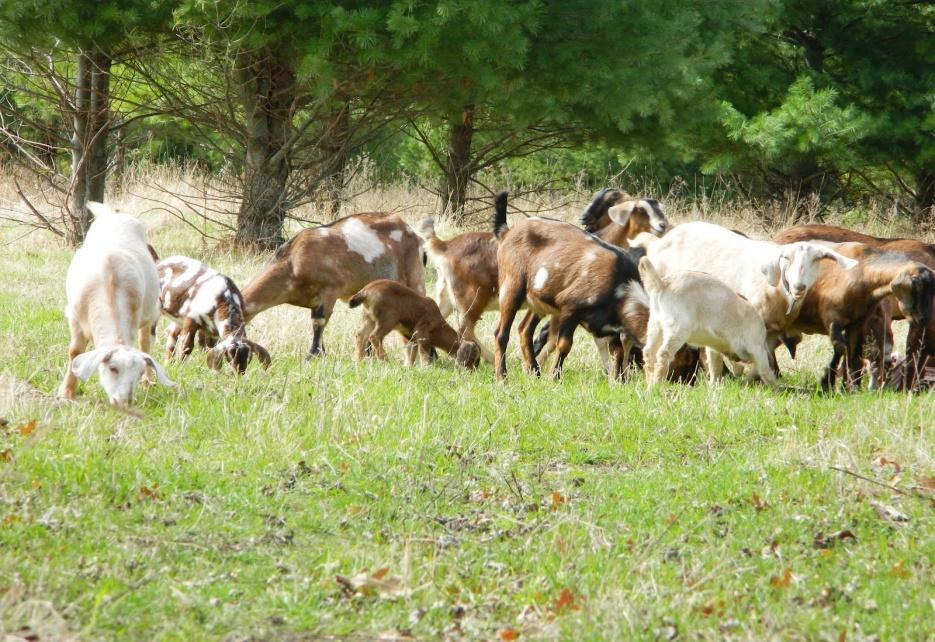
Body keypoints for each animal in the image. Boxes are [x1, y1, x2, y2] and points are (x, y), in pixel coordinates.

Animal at [58, 200, 174, 404]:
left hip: (151, 313)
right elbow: (75, 351)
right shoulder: (74, 318)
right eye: (113, 368)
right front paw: (66, 393)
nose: (124, 401)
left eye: (137, 372)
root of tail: (113, 214)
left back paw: (148, 381)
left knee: (145, 341)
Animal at [245, 211, 428, 358]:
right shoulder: (314, 301)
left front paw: (312, 356)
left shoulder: (329, 291)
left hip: (414, 278)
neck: (293, 262)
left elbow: (318, 323)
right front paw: (321, 353)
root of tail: (412, 232)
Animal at [640, 256, 780, 384]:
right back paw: (657, 385)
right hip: (678, 330)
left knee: (648, 354)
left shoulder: (713, 349)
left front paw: (714, 386)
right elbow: (765, 371)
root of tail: (662, 284)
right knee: (663, 354)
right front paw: (775, 388)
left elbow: (715, 367)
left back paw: (649, 386)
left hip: (655, 327)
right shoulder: (757, 348)